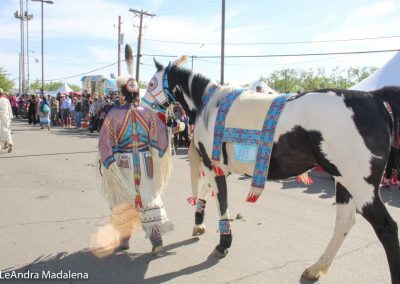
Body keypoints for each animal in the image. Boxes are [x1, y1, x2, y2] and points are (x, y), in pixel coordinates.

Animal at [144, 55, 400, 282]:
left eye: (151, 83)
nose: (143, 107)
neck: (210, 105)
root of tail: (373, 97)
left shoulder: (212, 165)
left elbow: (222, 202)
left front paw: (223, 243)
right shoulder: (221, 167)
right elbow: (208, 192)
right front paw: (198, 222)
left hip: (361, 186)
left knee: (387, 227)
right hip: (344, 182)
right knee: (345, 222)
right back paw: (316, 268)